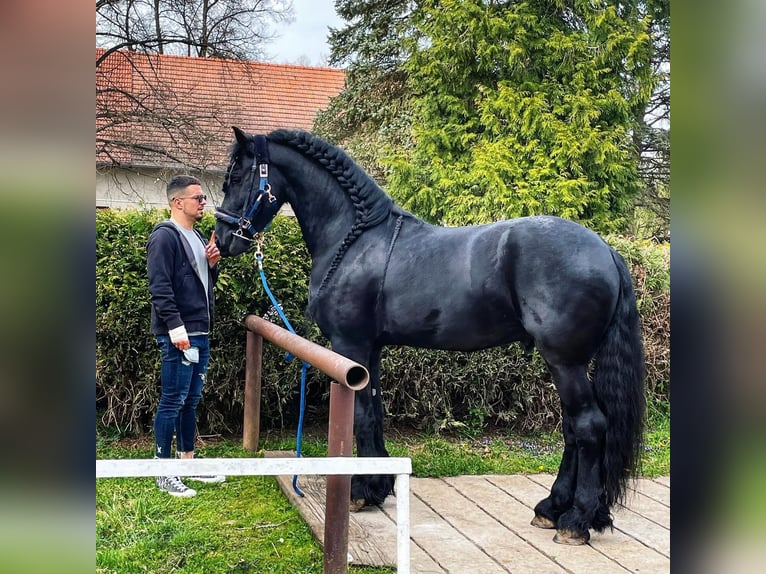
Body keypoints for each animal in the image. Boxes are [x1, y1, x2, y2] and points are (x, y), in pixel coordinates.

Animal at [214, 127, 645, 545]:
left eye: (237, 176)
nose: (222, 241)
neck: (355, 240)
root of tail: (606, 251)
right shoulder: (370, 352)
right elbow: (374, 413)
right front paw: (376, 486)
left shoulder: (351, 345)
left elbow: (361, 417)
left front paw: (359, 491)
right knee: (573, 428)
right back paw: (552, 507)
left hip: (564, 361)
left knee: (588, 426)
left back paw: (575, 520)